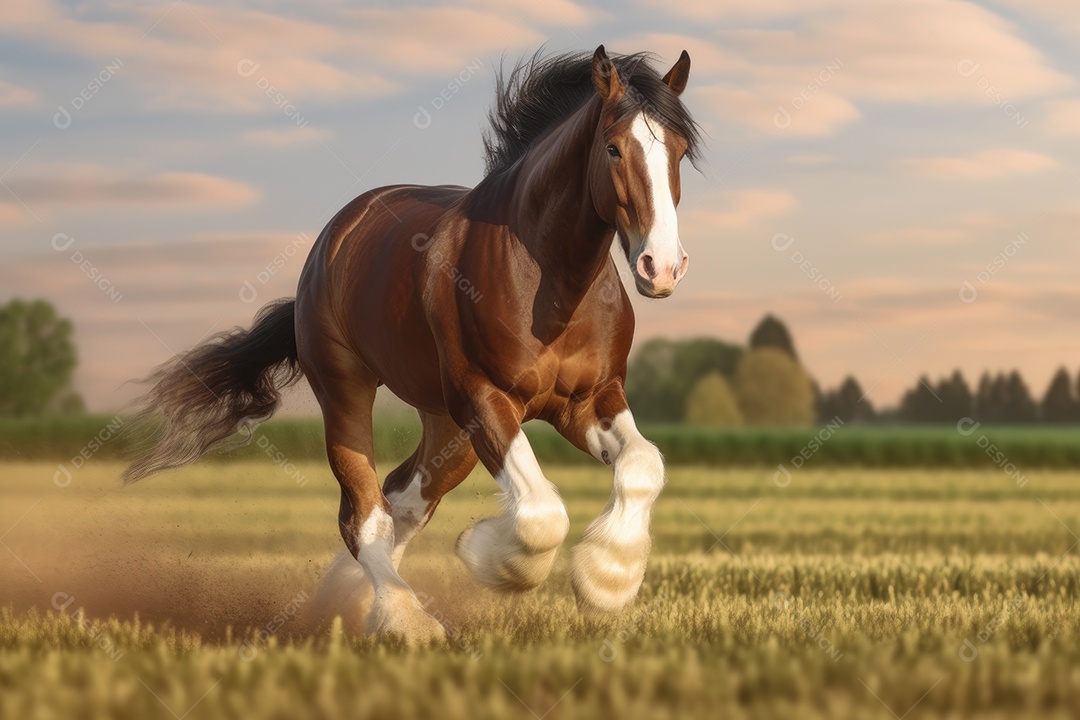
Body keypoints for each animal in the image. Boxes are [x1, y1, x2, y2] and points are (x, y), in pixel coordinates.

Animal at [124, 45, 702, 644]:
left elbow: (642, 466)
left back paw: (342, 608)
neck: (549, 284)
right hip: (350, 391)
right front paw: (482, 555)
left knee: (402, 499)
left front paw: (606, 582)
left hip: (449, 430)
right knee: (364, 513)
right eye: (613, 148)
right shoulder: (484, 397)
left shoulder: (588, 400)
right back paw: (404, 620)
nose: (661, 267)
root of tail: (335, 236)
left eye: (680, 151)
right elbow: (542, 512)